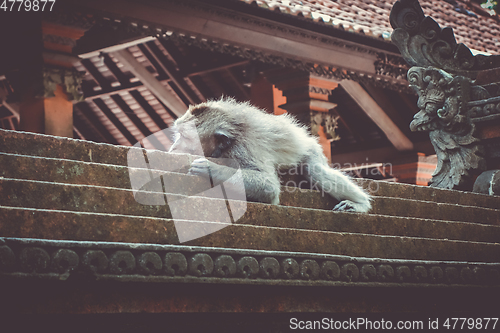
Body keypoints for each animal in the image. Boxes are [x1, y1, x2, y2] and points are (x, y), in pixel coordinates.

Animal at [168, 96, 372, 211]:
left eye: (185, 137)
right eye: (178, 134)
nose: (172, 149)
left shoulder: (243, 147)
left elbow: (269, 186)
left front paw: (211, 169)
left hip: (311, 149)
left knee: (316, 171)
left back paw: (361, 204)